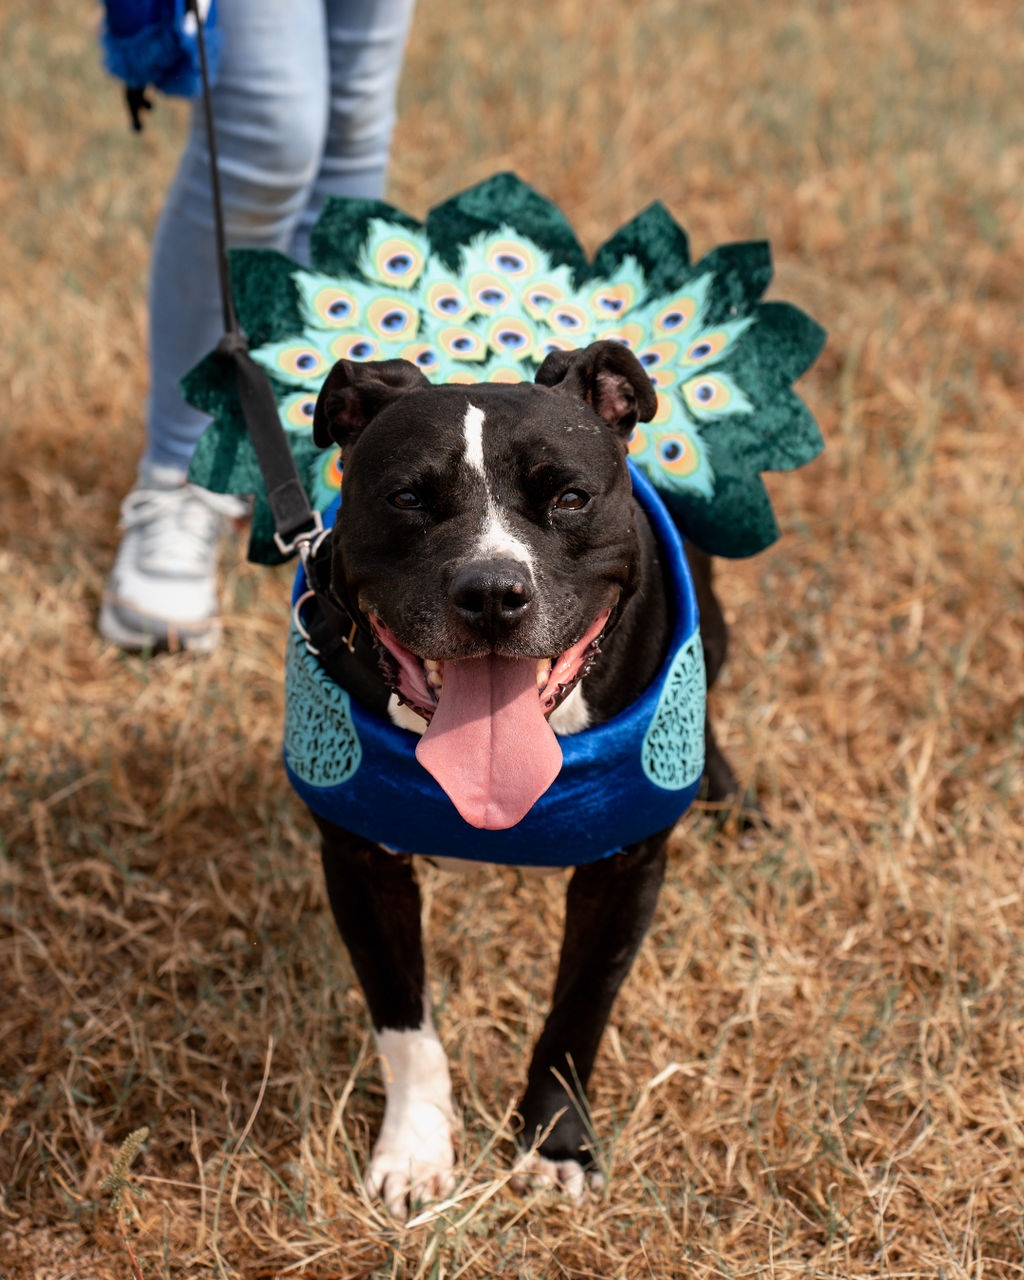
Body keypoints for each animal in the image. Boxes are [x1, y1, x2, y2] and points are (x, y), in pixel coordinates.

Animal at [288, 335, 737, 1213]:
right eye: (406, 498)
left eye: (569, 497)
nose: (493, 591)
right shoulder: (359, 862)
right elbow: (405, 1026)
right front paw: (416, 1152)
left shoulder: (626, 871)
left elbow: (577, 1014)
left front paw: (556, 1143)